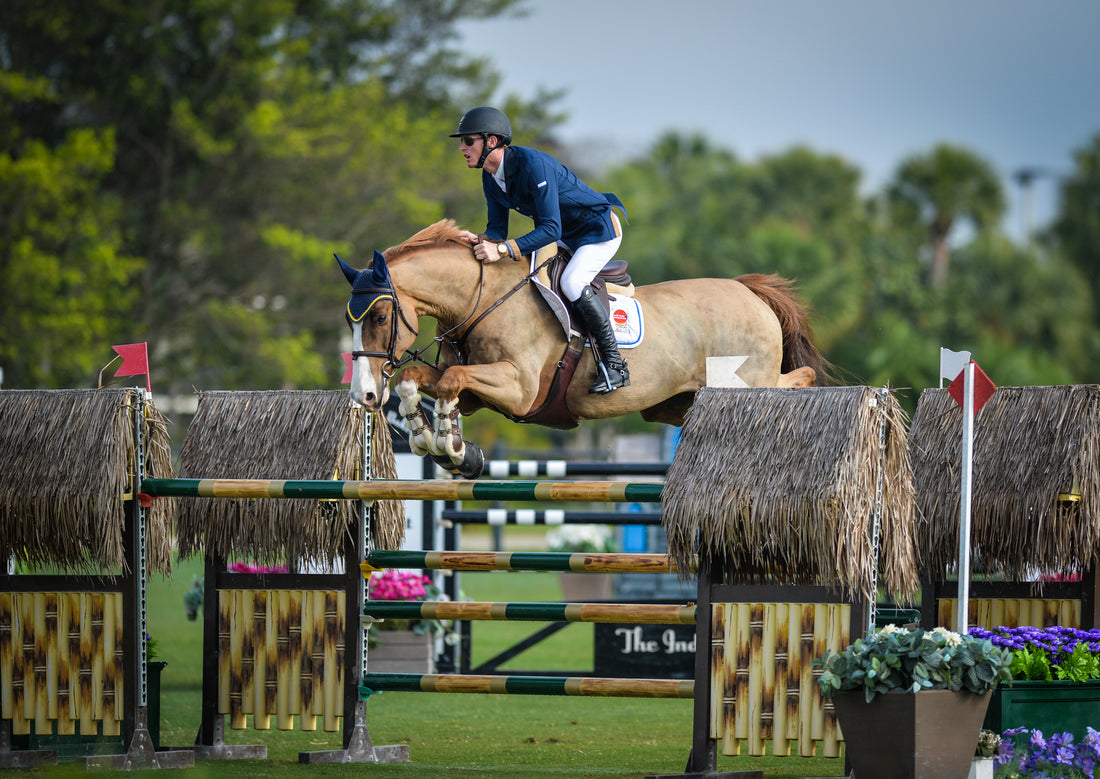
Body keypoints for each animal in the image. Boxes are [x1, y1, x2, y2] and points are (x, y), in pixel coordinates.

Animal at [338, 215, 827, 477]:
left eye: (379, 318)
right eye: (349, 321)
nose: (364, 395)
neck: (483, 298)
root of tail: (749, 292)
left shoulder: (519, 389)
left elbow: (450, 379)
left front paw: (451, 446)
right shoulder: (481, 394)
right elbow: (420, 379)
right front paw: (435, 441)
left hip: (743, 382)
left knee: (797, 379)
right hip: (675, 405)